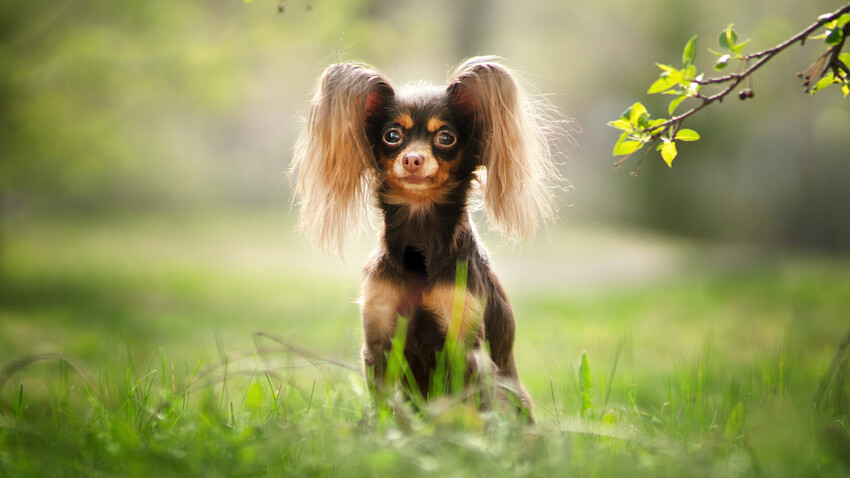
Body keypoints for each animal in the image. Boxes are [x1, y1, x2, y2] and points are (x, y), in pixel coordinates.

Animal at [288, 55, 560, 414]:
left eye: (445, 138)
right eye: (392, 135)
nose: (413, 158)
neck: (420, 235)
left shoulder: (464, 346)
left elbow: (466, 407)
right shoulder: (379, 340)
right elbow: (385, 406)